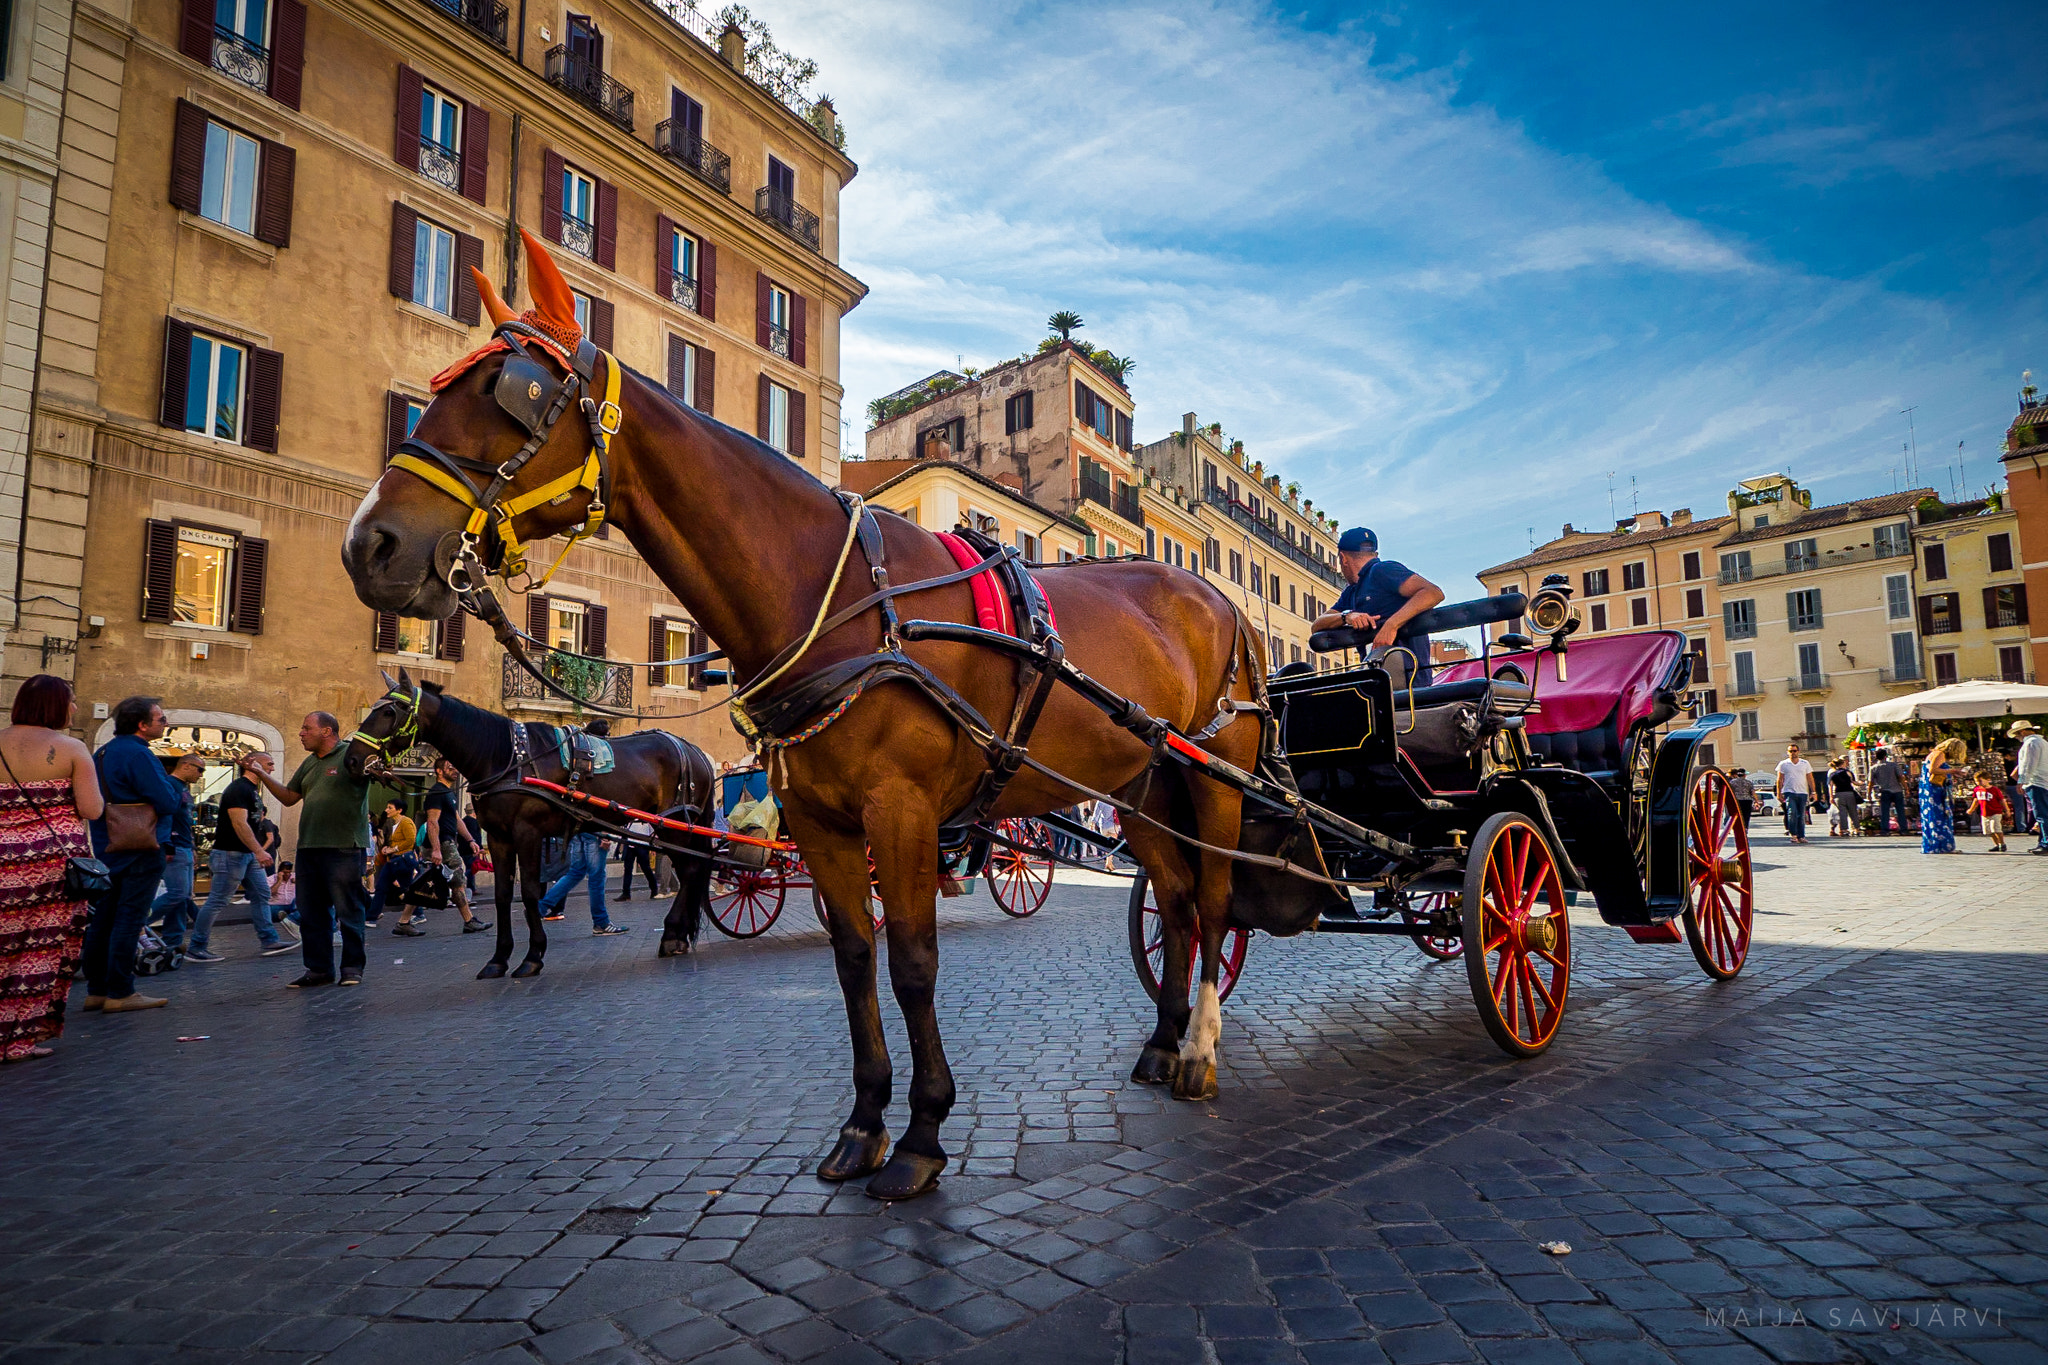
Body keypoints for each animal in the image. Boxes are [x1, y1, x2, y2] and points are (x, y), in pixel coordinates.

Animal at [344, 232, 1327, 1195]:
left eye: (509, 392)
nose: (370, 544)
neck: (838, 593)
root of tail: (1224, 604)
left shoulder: (904, 812)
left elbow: (915, 961)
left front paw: (926, 1132)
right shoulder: (818, 820)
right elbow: (855, 956)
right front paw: (865, 1125)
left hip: (1216, 779)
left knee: (1213, 897)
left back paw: (1198, 1047)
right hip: (1141, 785)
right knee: (1176, 900)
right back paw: (1162, 1040)